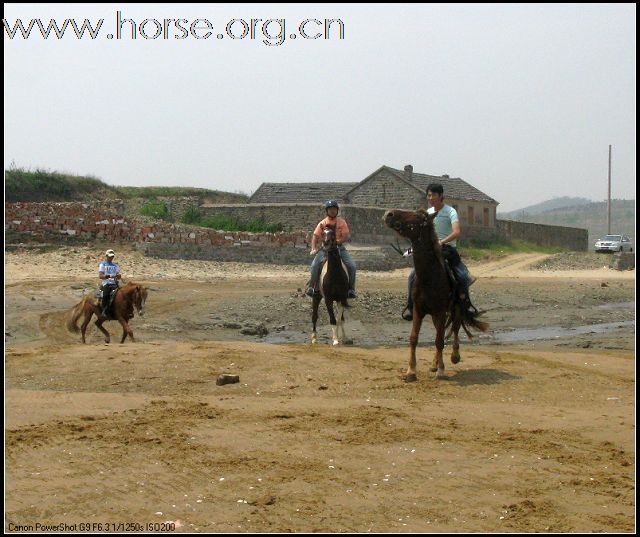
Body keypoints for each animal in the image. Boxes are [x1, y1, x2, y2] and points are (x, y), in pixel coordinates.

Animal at [382, 209, 488, 382]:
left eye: (418, 217)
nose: (389, 213)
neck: (430, 277)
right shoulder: (418, 310)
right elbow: (414, 338)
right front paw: (411, 371)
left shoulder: (440, 311)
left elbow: (439, 340)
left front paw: (441, 370)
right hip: (435, 314)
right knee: (443, 331)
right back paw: (434, 363)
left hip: (455, 309)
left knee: (454, 329)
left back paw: (454, 356)